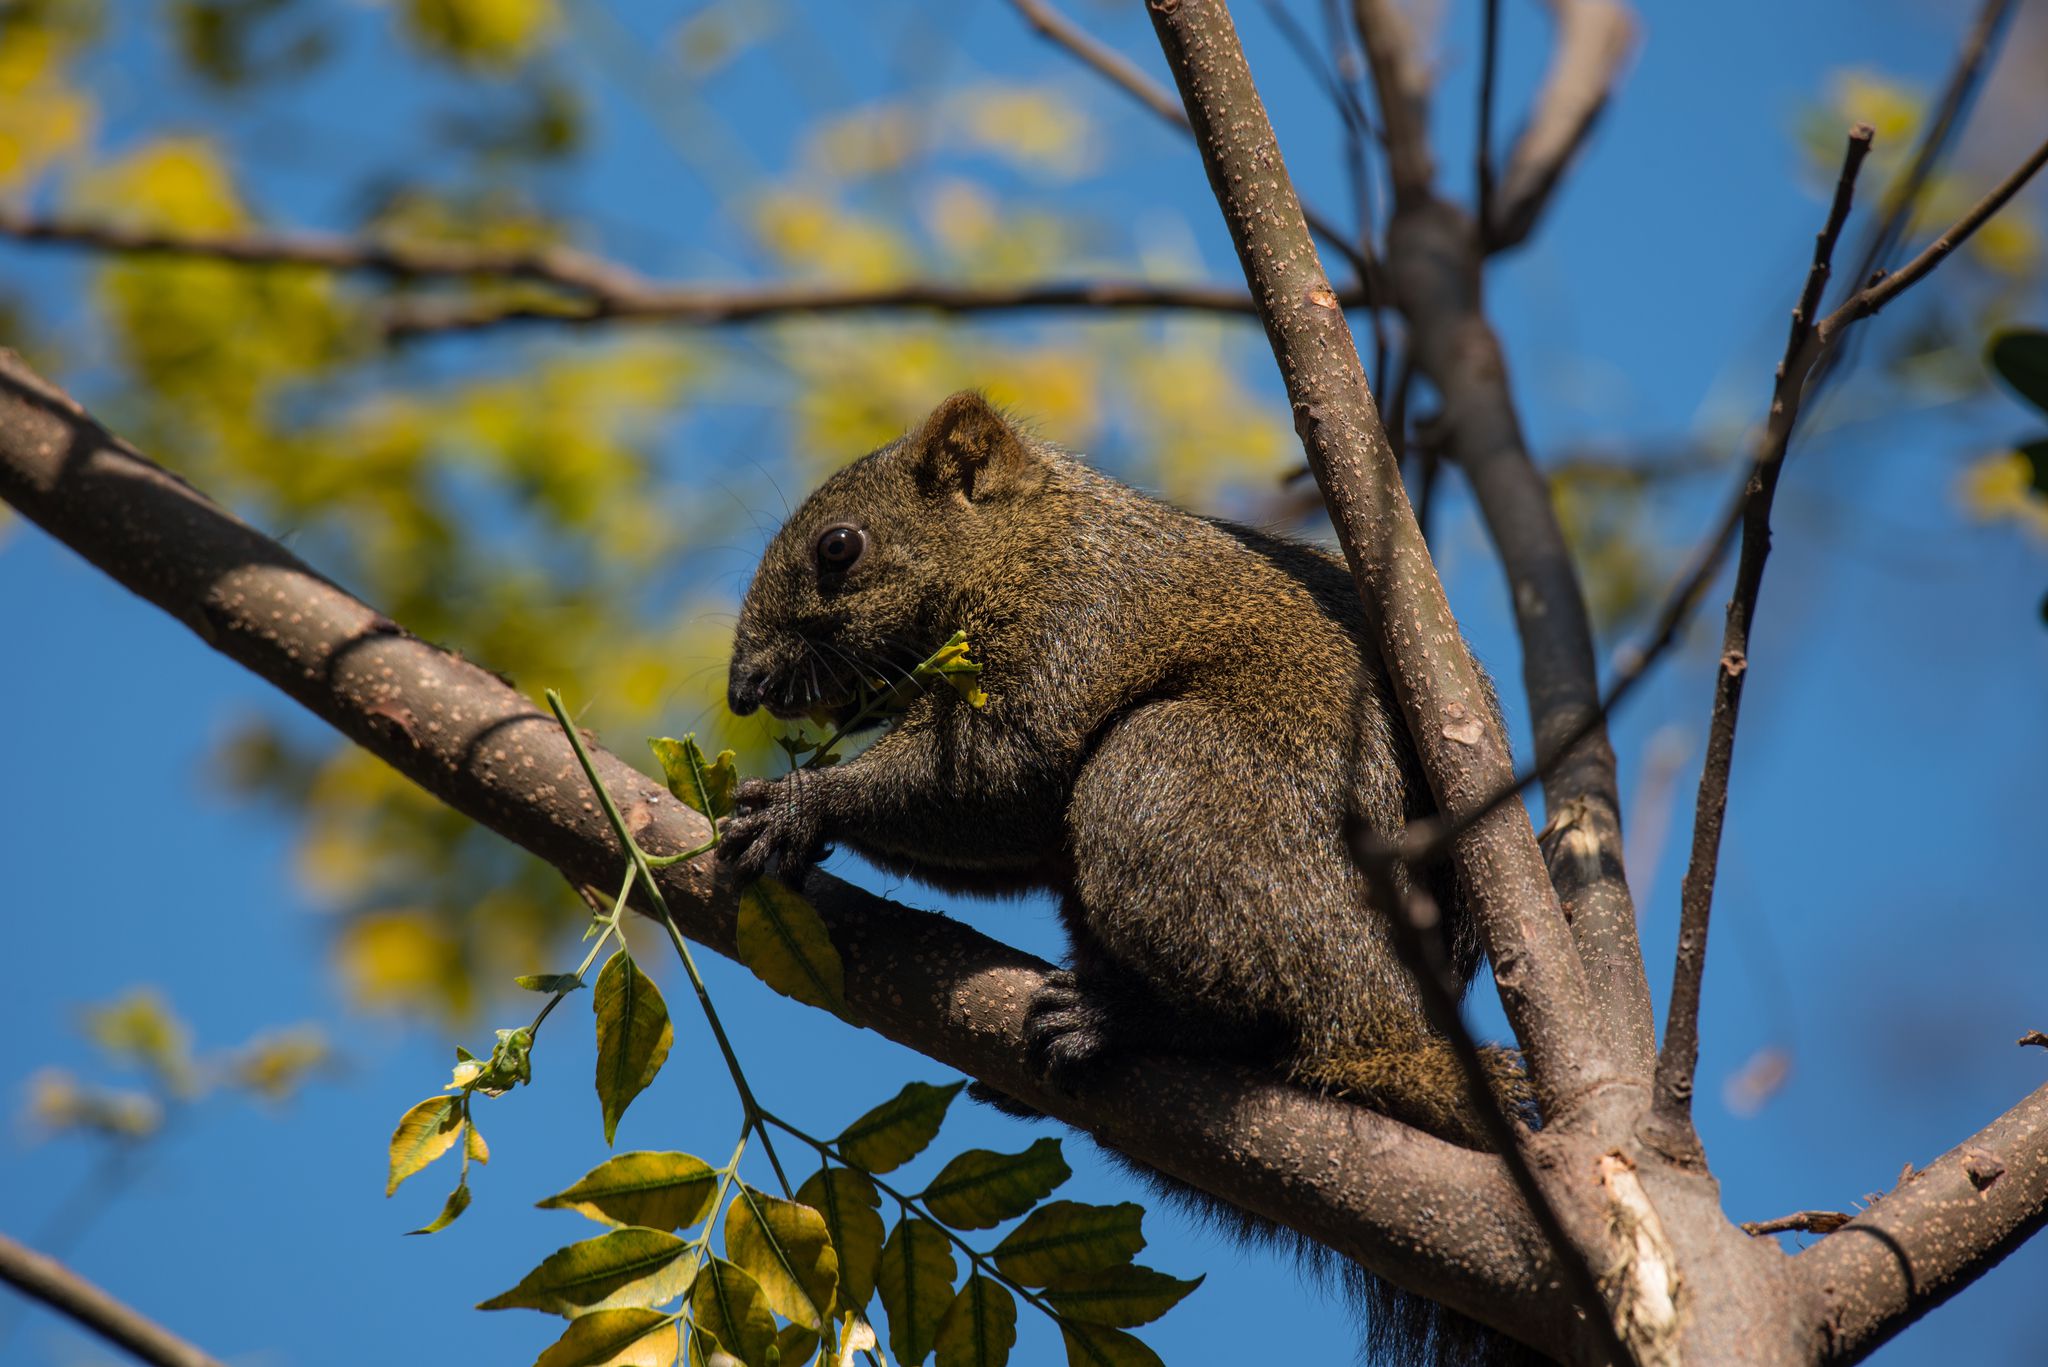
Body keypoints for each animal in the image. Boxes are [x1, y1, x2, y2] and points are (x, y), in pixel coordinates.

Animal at [720, 389, 1540, 1360]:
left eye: (839, 547)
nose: (744, 688)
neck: (1032, 541)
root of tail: (1388, 1022)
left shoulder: (1075, 623)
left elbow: (993, 778)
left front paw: (800, 805)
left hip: (1171, 787)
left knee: (1260, 1014)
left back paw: (1119, 1020)